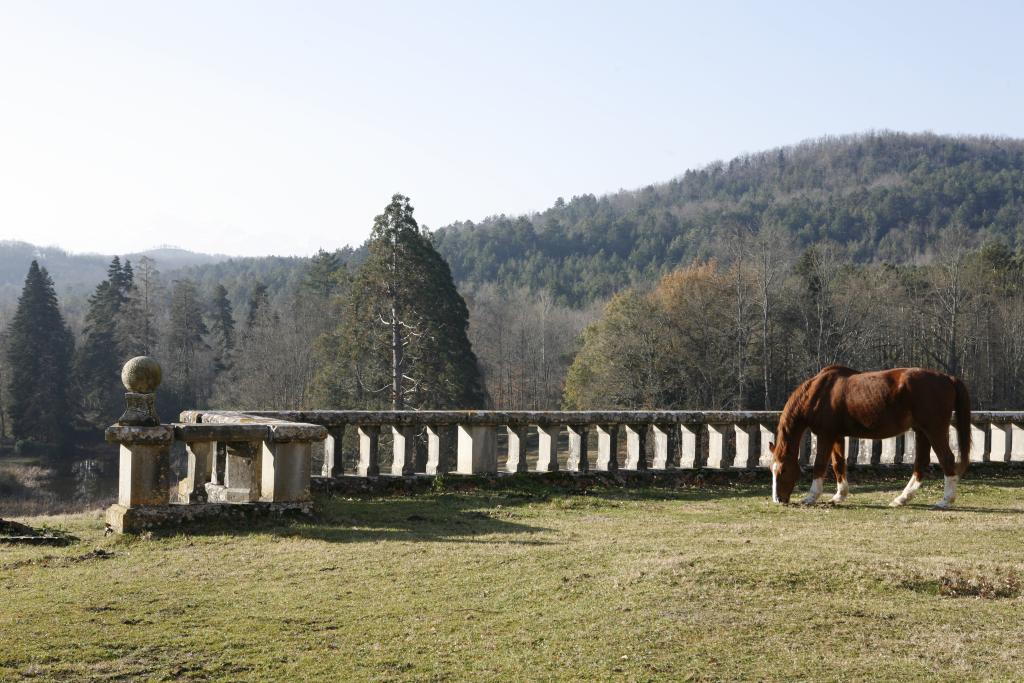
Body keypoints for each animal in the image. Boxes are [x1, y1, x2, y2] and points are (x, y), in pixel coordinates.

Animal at [770, 368, 970, 507]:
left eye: (783, 471)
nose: (778, 499)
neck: (819, 392)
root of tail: (948, 378)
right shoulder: (837, 436)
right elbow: (838, 464)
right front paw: (839, 496)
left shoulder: (825, 435)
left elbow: (820, 464)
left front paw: (811, 497)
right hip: (922, 431)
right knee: (921, 463)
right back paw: (902, 498)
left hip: (934, 429)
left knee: (946, 458)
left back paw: (946, 500)